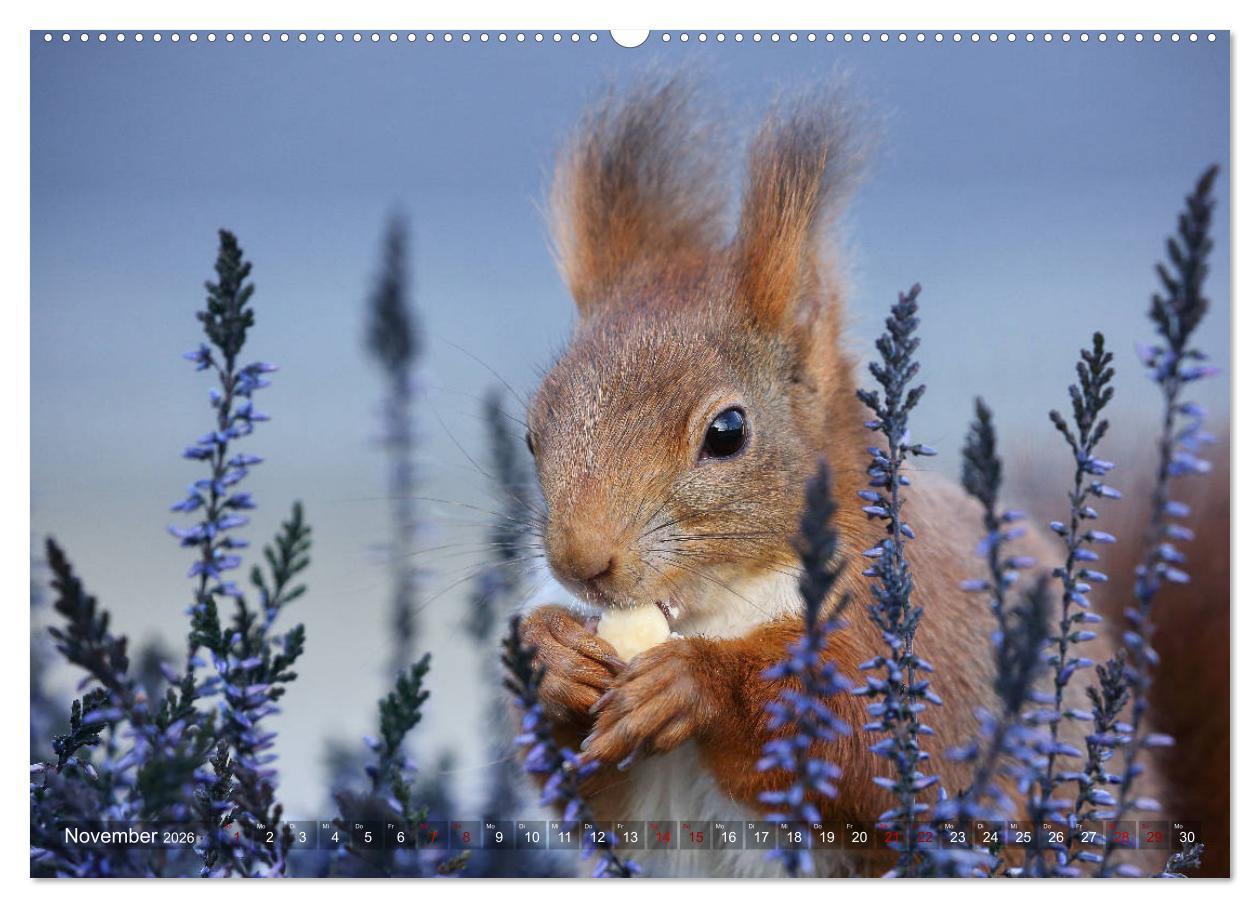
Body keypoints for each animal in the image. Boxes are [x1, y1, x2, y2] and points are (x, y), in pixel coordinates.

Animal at [515, 79, 1217, 877]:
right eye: (531, 433)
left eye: (727, 432)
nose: (581, 562)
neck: (721, 606)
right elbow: (589, 793)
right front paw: (551, 655)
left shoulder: (913, 642)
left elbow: (862, 750)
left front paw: (696, 683)